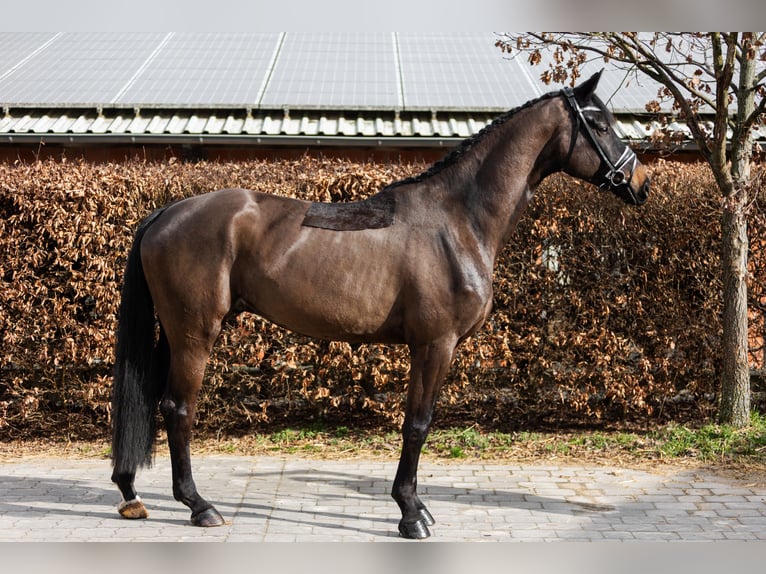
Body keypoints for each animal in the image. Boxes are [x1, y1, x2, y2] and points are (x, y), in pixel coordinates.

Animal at [110, 70, 650, 539]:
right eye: (601, 124)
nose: (640, 182)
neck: (457, 221)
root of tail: (165, 213)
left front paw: (417, 507)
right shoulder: (434, 345)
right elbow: (418, 424)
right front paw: (411, 513)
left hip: (173, 333)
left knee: (154, 402)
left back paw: (131, 491)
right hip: (195, 333)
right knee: (178, 408)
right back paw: (199, 506)